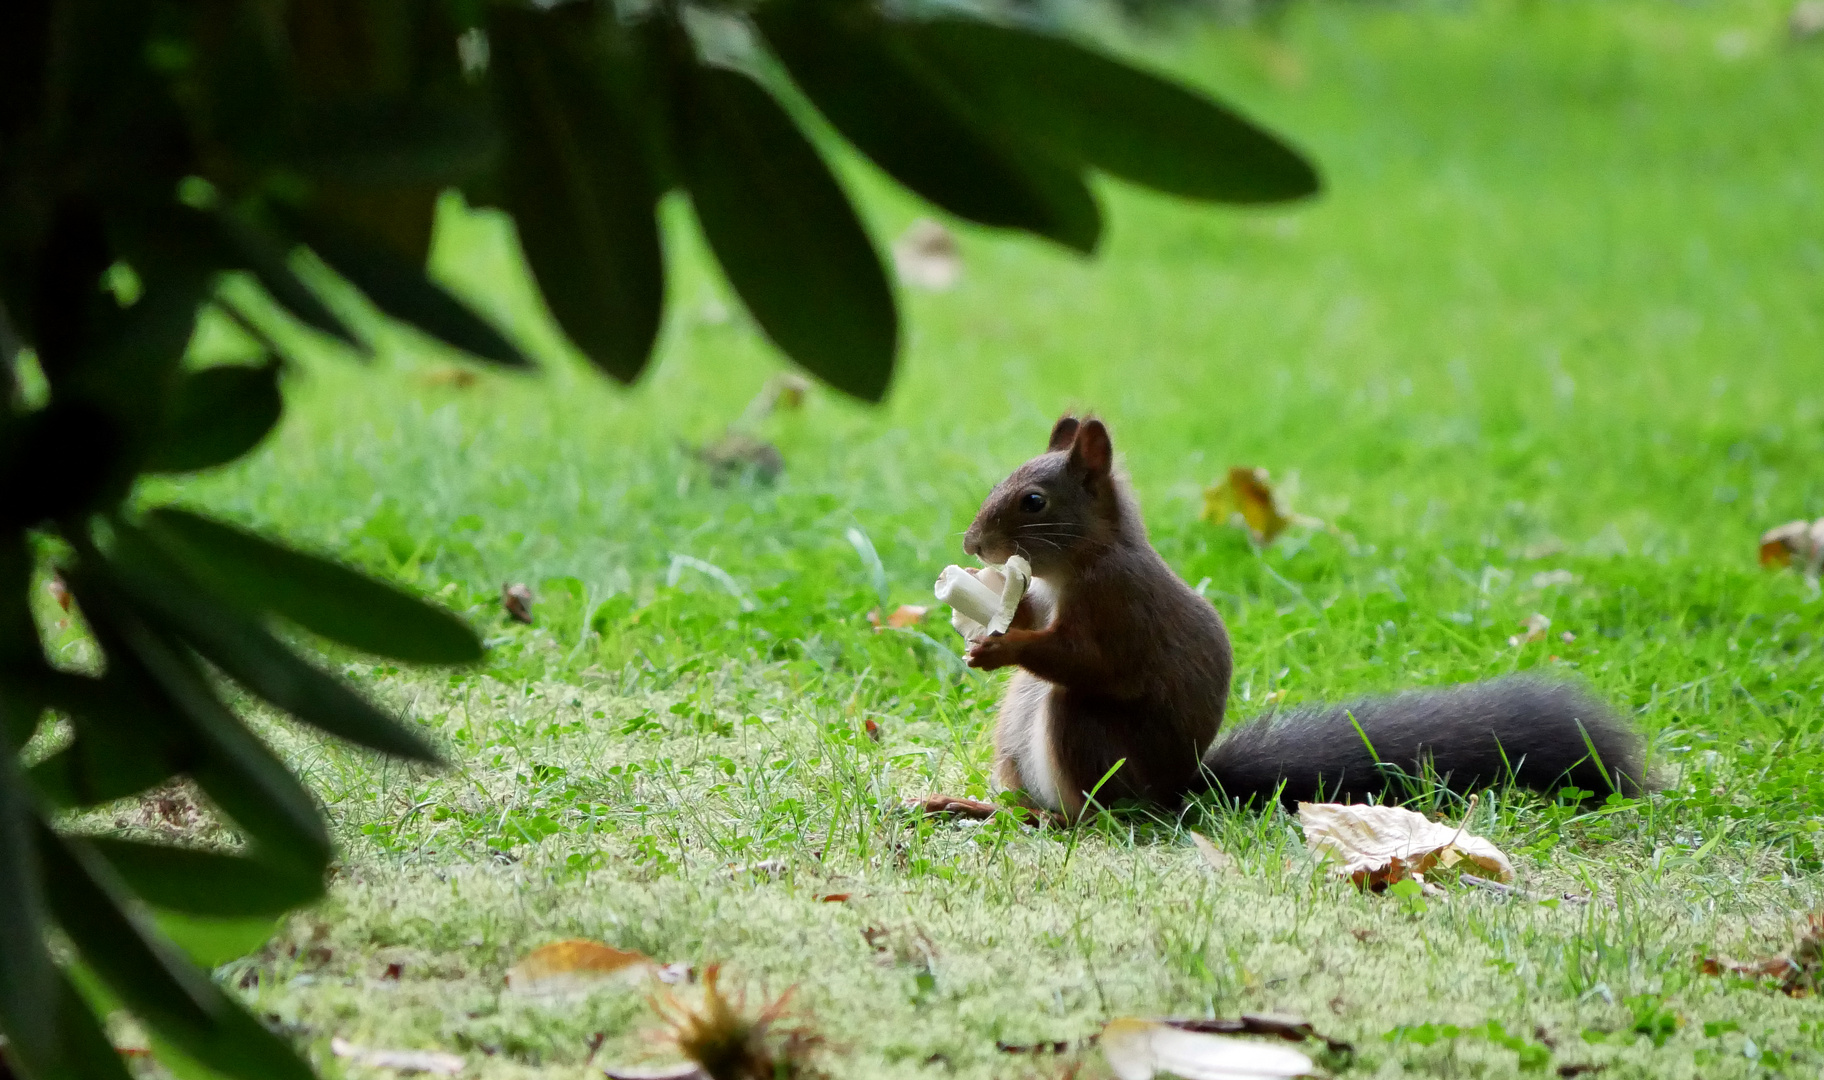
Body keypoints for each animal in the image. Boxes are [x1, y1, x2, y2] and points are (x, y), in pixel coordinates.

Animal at [941, 414, 1656, 817]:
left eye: (1034, 501)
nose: (973, 546)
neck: (1080, 563)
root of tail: (1185, 787)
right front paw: (986, 614)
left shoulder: (1120, 606)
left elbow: (1092, 661)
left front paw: (1001, 647)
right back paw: (974, 804)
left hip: (1090, 739)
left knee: (1093, 801)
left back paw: (1052, 818)